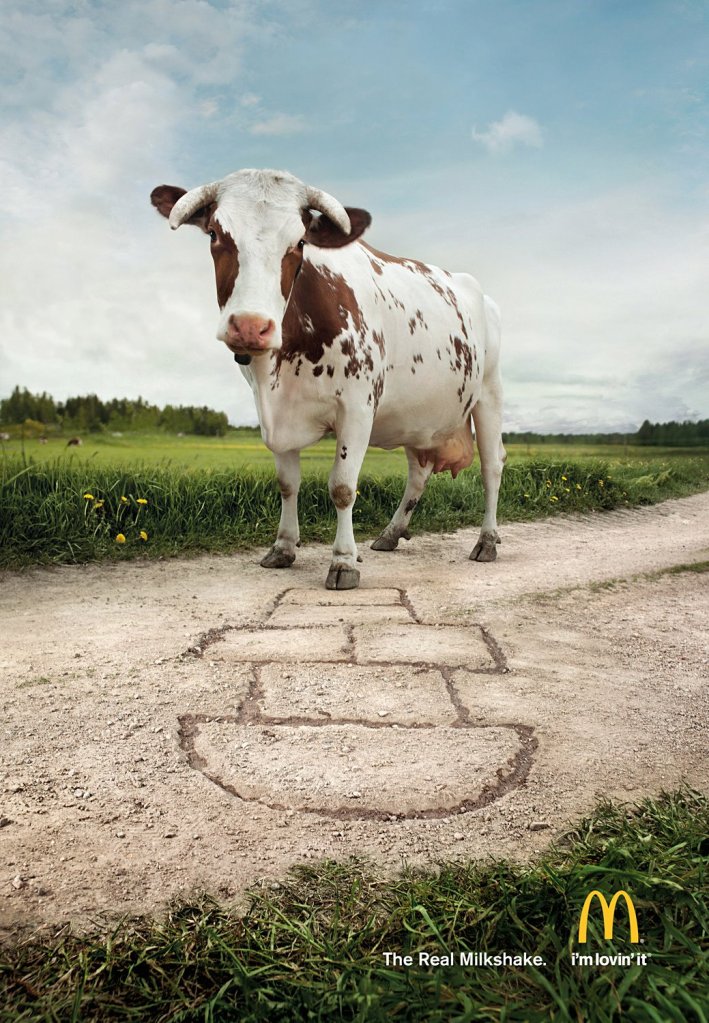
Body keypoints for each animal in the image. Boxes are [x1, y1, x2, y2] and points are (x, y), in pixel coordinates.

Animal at [150, 169, 505, 590]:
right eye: (215, 235)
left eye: (300, 242)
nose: (250, 326)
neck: (279, 370)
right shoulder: (274, 412)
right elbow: (287, 483)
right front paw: (283, 547)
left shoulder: (357, 407)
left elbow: (342, 487)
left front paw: (343, 561)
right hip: (418, 415)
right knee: (418, 473)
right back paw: (390, 533)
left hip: (489, 393)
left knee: (492, 467)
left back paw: (487, 541)